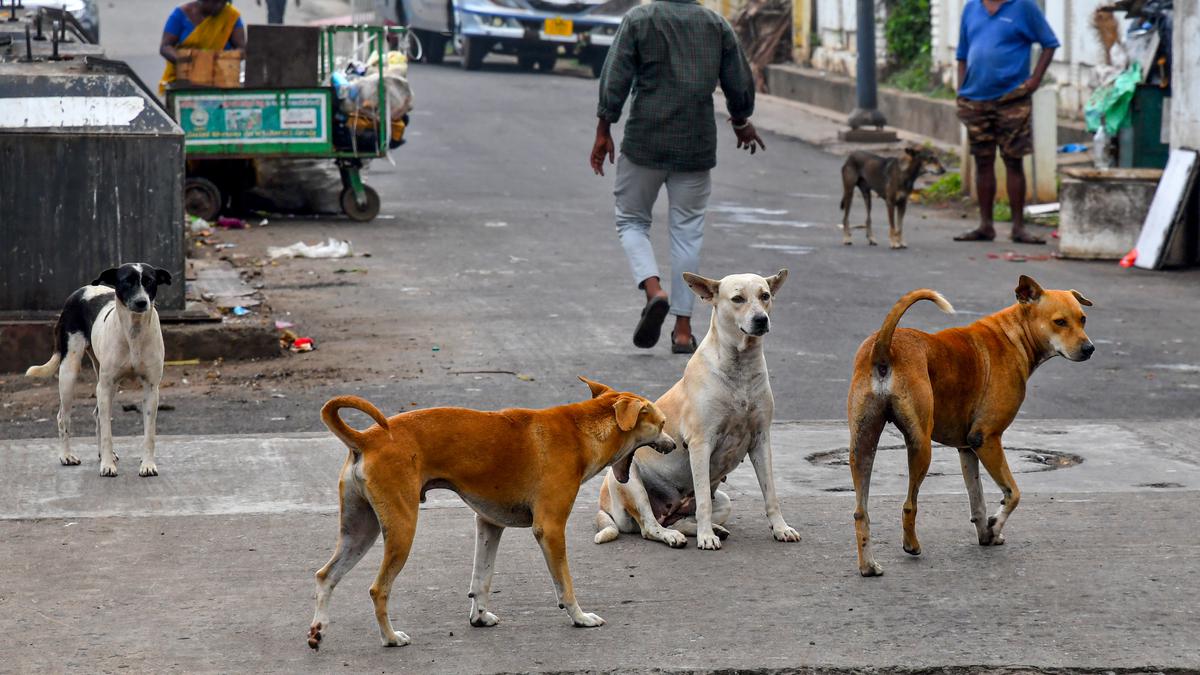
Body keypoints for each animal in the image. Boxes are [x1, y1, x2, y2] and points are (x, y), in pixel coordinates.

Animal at [24, 260, 174, 475]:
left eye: (149, 281)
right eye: (126, 282)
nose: (141, 302)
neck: (134, 333)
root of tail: (79, 291)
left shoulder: (151, 389)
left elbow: (149, 434)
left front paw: (147, 464)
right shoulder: (105, 385)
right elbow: (107, 433)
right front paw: (108, 466)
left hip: (106, 383)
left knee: (96, 414)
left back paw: (102, 454)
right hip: (70, 372)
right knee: (63, 416)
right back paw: (66, 456)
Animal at [595, 266, 801, 547]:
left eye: (765, 295)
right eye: (738, 299)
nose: (761, 319)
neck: (740, 365)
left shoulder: (761, 440)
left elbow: (771, 494)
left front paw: (780, 528)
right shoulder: (700, 443)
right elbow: (703, 498)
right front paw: (706, 537)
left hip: (723, 500)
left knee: (682, 519)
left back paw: (710, 528)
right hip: (627, 481)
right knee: (649, 525)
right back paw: (674, 534)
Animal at [844, 273, 1099, 571]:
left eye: (1082, 319)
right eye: (1060, 322)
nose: (1089, 349)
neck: (1012, 335)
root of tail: (885, 346)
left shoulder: (967, 449)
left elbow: (977, 500)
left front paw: (987, 534)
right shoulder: (987, 439)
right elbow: (1013, 493)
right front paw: (995, 525)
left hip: (862, 445)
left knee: (860, 512)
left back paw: (868, 566)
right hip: (920, 446)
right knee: (909, 504)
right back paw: (911, 545)